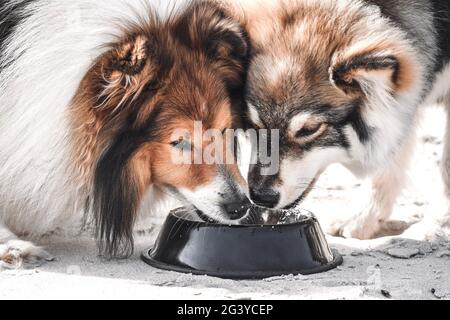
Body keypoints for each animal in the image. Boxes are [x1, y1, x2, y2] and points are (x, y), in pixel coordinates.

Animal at [225, 0, 450, 240]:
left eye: (309, 129)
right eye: (253, 123)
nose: (260, 196)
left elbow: (445, 168)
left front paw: (437, 226)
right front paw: (362, 217)